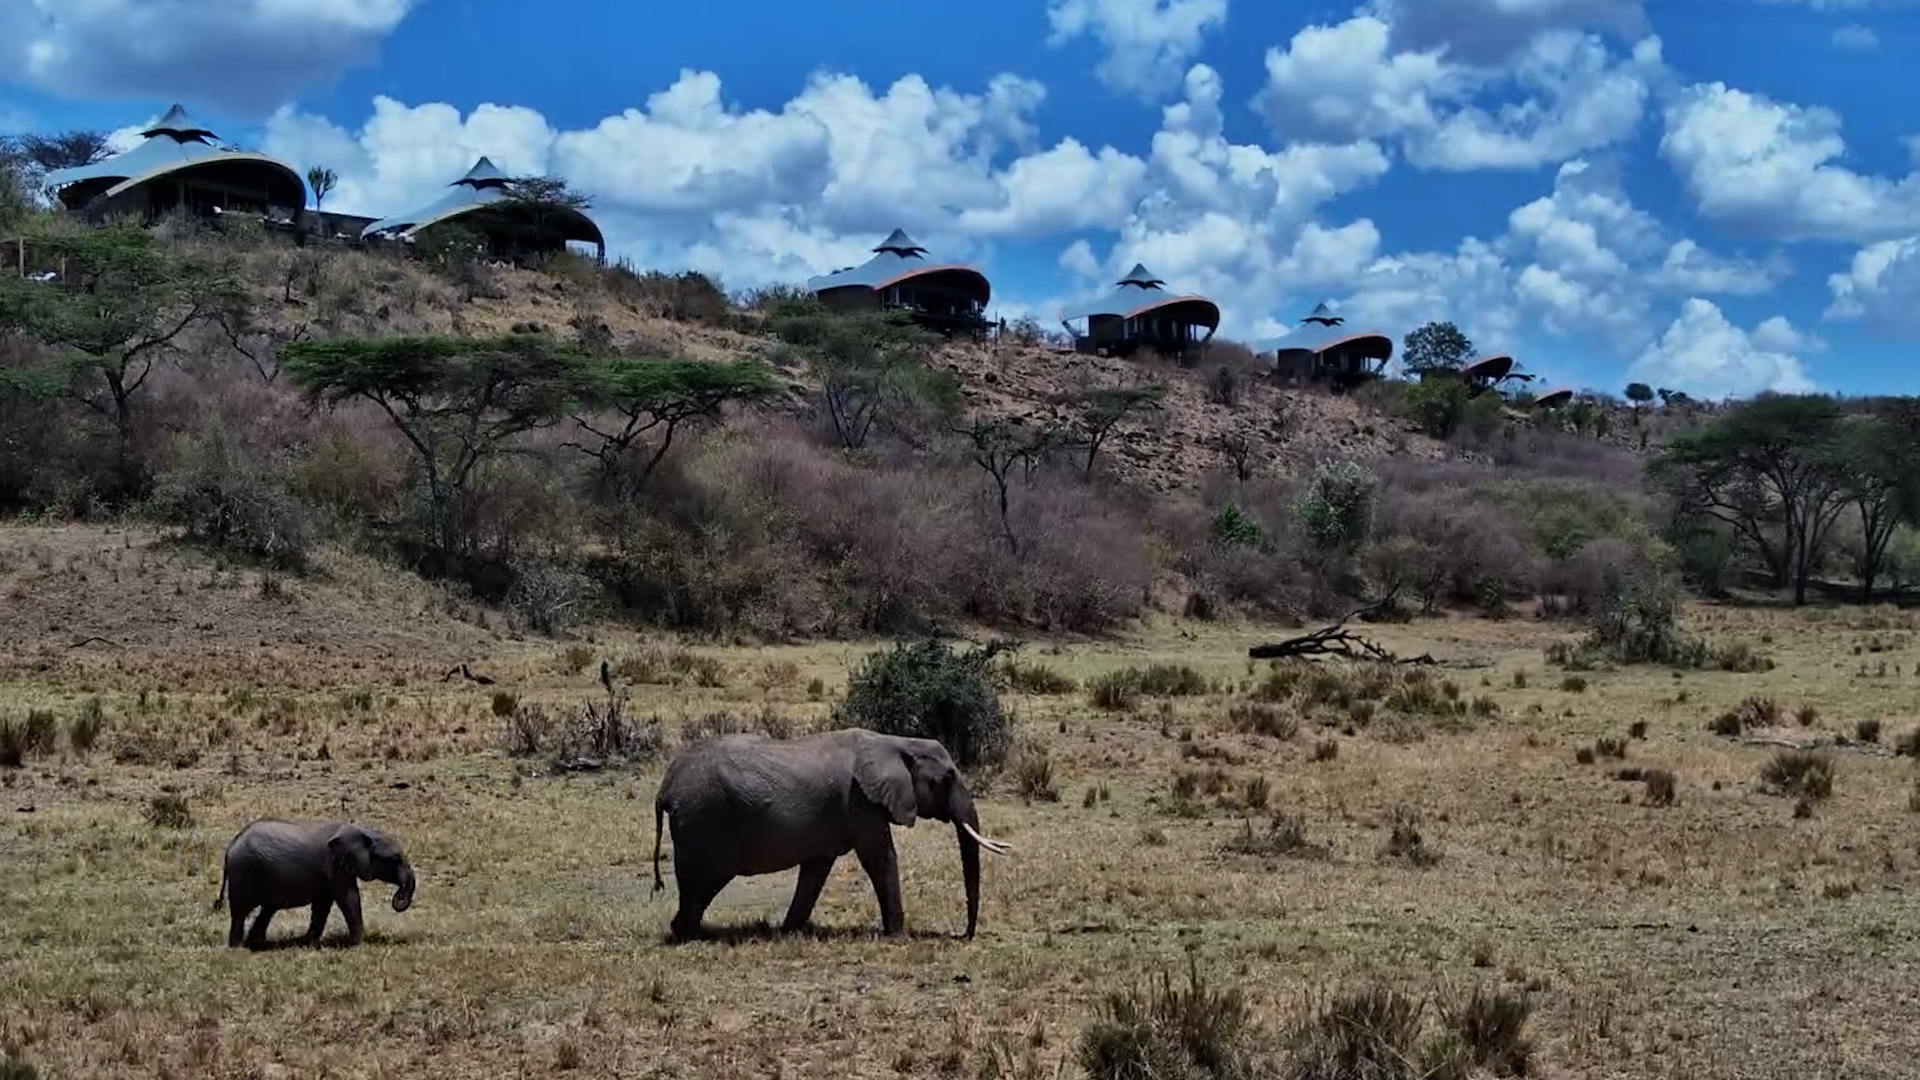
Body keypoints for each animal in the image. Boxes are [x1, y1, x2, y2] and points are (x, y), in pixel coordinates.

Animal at [213, 818, 416, 950]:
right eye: (395, 859)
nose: (398, 897)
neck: (362, 831)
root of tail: (230, 847)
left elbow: (323, 906)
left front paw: (306, 942)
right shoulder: (336, 866)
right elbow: (348, 898)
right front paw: (357, 944)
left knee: (267, 910)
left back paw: (257, 945)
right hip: (243, 872)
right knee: (240, 912)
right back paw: (238, 948)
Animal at [650, 727, 1012, 941]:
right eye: (947, 778)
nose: (963, 936)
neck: (893, 741)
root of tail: (665, 786)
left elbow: (816, 870)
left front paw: (790, 931)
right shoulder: (861, 801)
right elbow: (880, 858)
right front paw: (898, 937)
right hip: (702, 818)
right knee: (699, 884)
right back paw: (686, 935)